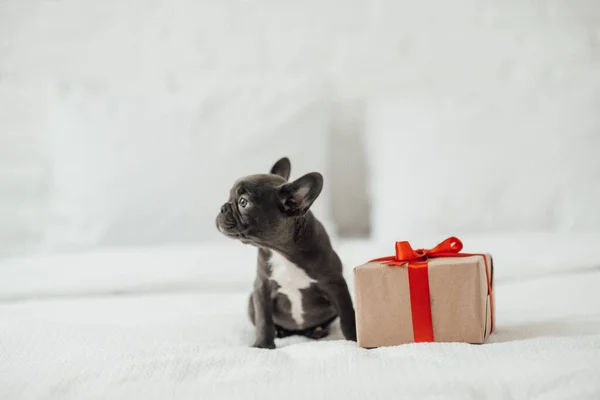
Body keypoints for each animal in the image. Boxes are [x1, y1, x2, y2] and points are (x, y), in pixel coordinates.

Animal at [216, 158, 356, 348]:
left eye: (243, 202)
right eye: (230, 196)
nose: (222, 207)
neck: (280, 251)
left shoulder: (335, 285)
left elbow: (348, 317)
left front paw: (356, 339)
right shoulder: (262, 288)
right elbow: (264, 320)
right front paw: (263, 345)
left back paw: (316, 331)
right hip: (251, 302)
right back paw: (282, 332)